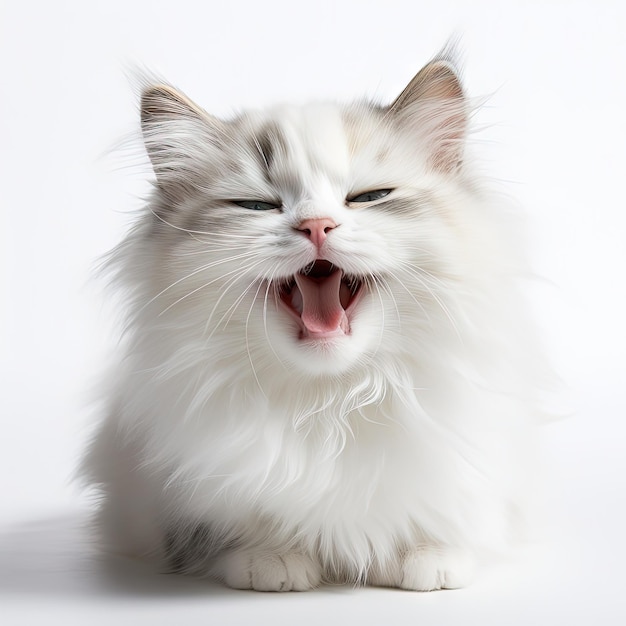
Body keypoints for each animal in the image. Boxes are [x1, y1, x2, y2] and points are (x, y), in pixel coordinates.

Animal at [81, 50, 540, 588]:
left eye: (369, 197)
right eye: (256, 205)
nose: (316, 226)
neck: (330, 400)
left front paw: (429, 558)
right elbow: (228, 533)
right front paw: (271, 561)